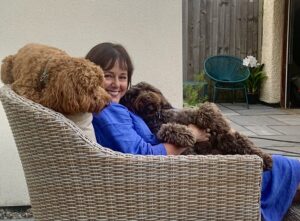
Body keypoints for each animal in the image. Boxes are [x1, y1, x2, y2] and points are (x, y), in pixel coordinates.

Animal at [120, 82, 274, 170]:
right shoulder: (158, 131)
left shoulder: (185, 114)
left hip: (229, 138)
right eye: (134, 95)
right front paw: (187, 134)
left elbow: (204, 109)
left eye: (148, 89)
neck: (157, 116)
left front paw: (220, 121)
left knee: (247, 146)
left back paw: (265, 159)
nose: (145, 97)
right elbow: (167, 129)